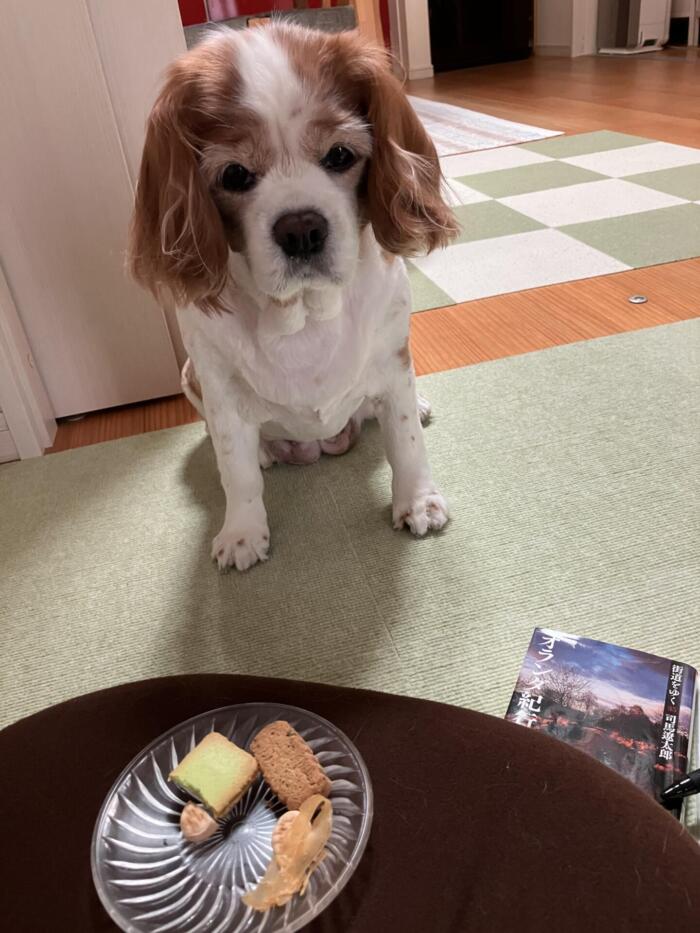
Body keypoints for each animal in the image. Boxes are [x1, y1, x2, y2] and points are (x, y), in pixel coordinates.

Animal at [128, 24, 457, 571]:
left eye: (340, 155)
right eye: (234, 175)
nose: (301, 228)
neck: (302, 312)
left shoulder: (393, 361)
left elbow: (406, 440)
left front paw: (417, 501)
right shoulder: (218, 387)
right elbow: (235, 471)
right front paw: (242, 531)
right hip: (190, 377)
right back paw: (264, 452)